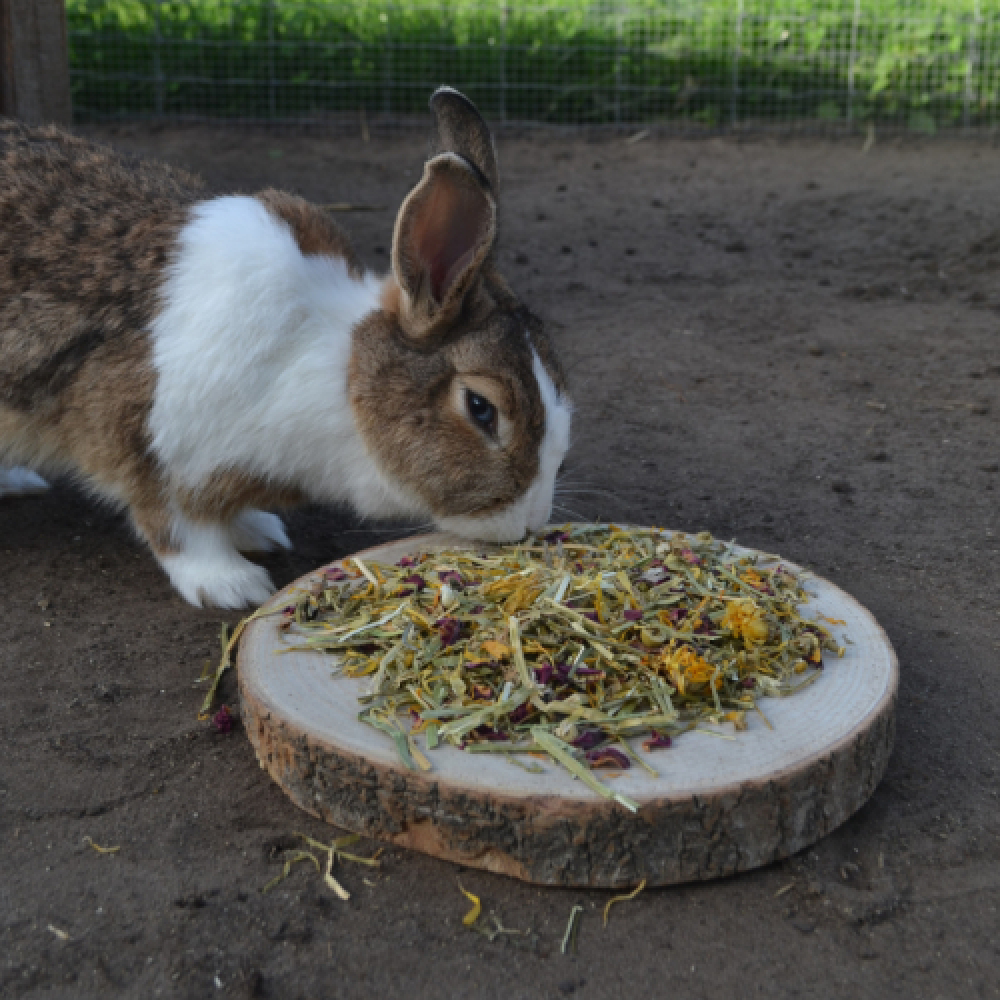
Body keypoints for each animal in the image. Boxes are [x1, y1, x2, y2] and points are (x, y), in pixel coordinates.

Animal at [0, 87, 572, 609]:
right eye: (480, 408)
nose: (527, 524)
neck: (336, 373)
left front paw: (258, 530)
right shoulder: (150, 446)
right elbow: (179, 529)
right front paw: (233, 585)